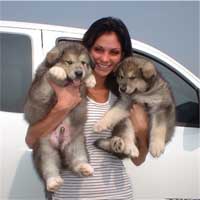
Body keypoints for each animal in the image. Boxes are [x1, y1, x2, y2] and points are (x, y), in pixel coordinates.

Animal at [24, 41, 96, 192]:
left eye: (83, 63)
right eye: (69, 62)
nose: (79, 73)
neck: (68, 83)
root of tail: (61, 144)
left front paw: (91, 79)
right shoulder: (40, 88)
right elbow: (47, 77)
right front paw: (57, 71)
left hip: (77, 143)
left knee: (77, 160)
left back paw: (84, 167)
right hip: (45, 149)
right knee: (48, 166)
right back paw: (53, 182)